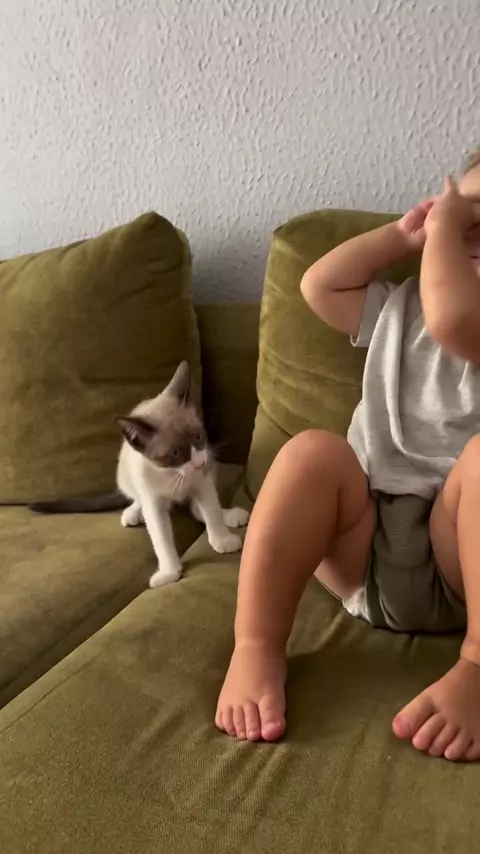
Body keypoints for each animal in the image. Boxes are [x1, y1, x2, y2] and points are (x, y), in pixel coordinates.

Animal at [30, 361, 250, 588]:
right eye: (175, 453)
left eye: (198, 437)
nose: (199, 463)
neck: (173, 476)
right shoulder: (152, 500)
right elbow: (160, 537)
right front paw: (169, 573)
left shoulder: (202, 482)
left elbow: (211, 511)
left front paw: (222, 539)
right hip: (125, 477)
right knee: (138, 499)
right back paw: (133, 513)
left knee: (199, 509)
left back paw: (231, 515)